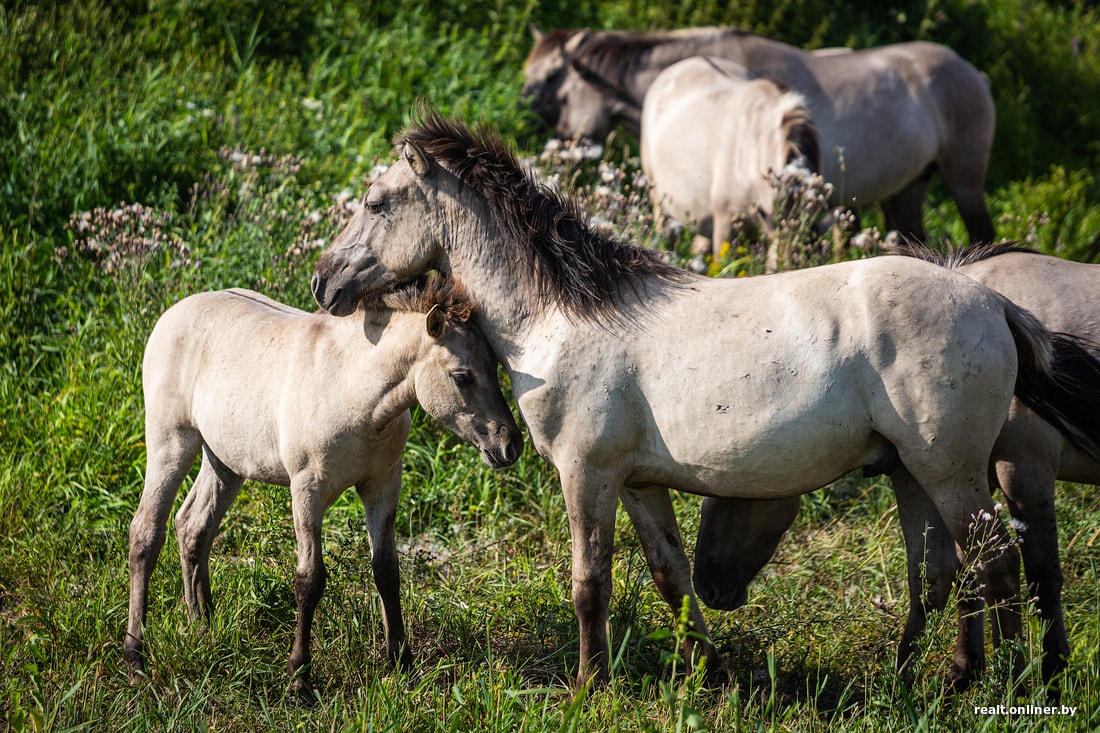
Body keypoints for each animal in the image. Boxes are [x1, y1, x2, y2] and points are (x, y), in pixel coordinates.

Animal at [126, 275, 521, 695]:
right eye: (462, 375)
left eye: (495, 367)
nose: (510, 445)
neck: (353, 391)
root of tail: (172, 313)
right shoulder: (307, 490)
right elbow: (310, 579)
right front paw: (299, 677)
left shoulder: (383, 485)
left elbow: (386, 570)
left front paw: (401, 662)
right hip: (171, 443)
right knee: (146, 533)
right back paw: (135, 656)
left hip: (225, 463)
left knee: (193, 528)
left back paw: (203, 626)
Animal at [695, 242, 1100, 695]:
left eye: (737, 485)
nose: (706, 587)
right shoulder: (945, 477)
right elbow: (956, 574)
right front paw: (964, 670)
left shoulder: (1024, 470)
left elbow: (1040, 575)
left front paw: (1048, 671)